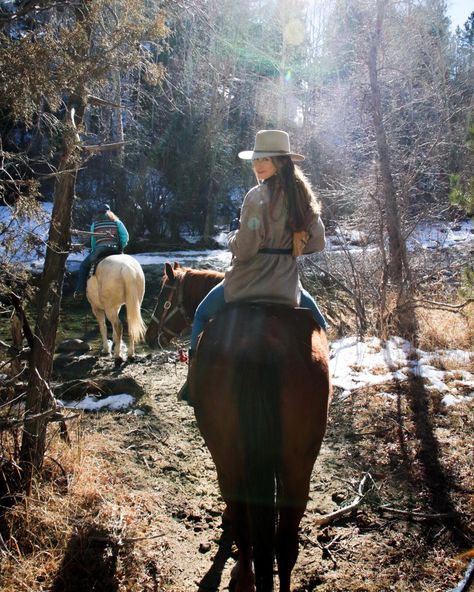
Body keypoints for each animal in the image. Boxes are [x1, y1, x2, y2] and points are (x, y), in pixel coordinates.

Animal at [144, 264, 330, 592]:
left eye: (163, 296)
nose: (150, 337)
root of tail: (261, 348)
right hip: (298, 463)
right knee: (285, 542)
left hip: (226, 456)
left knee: (242, 519)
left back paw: (243, 576)